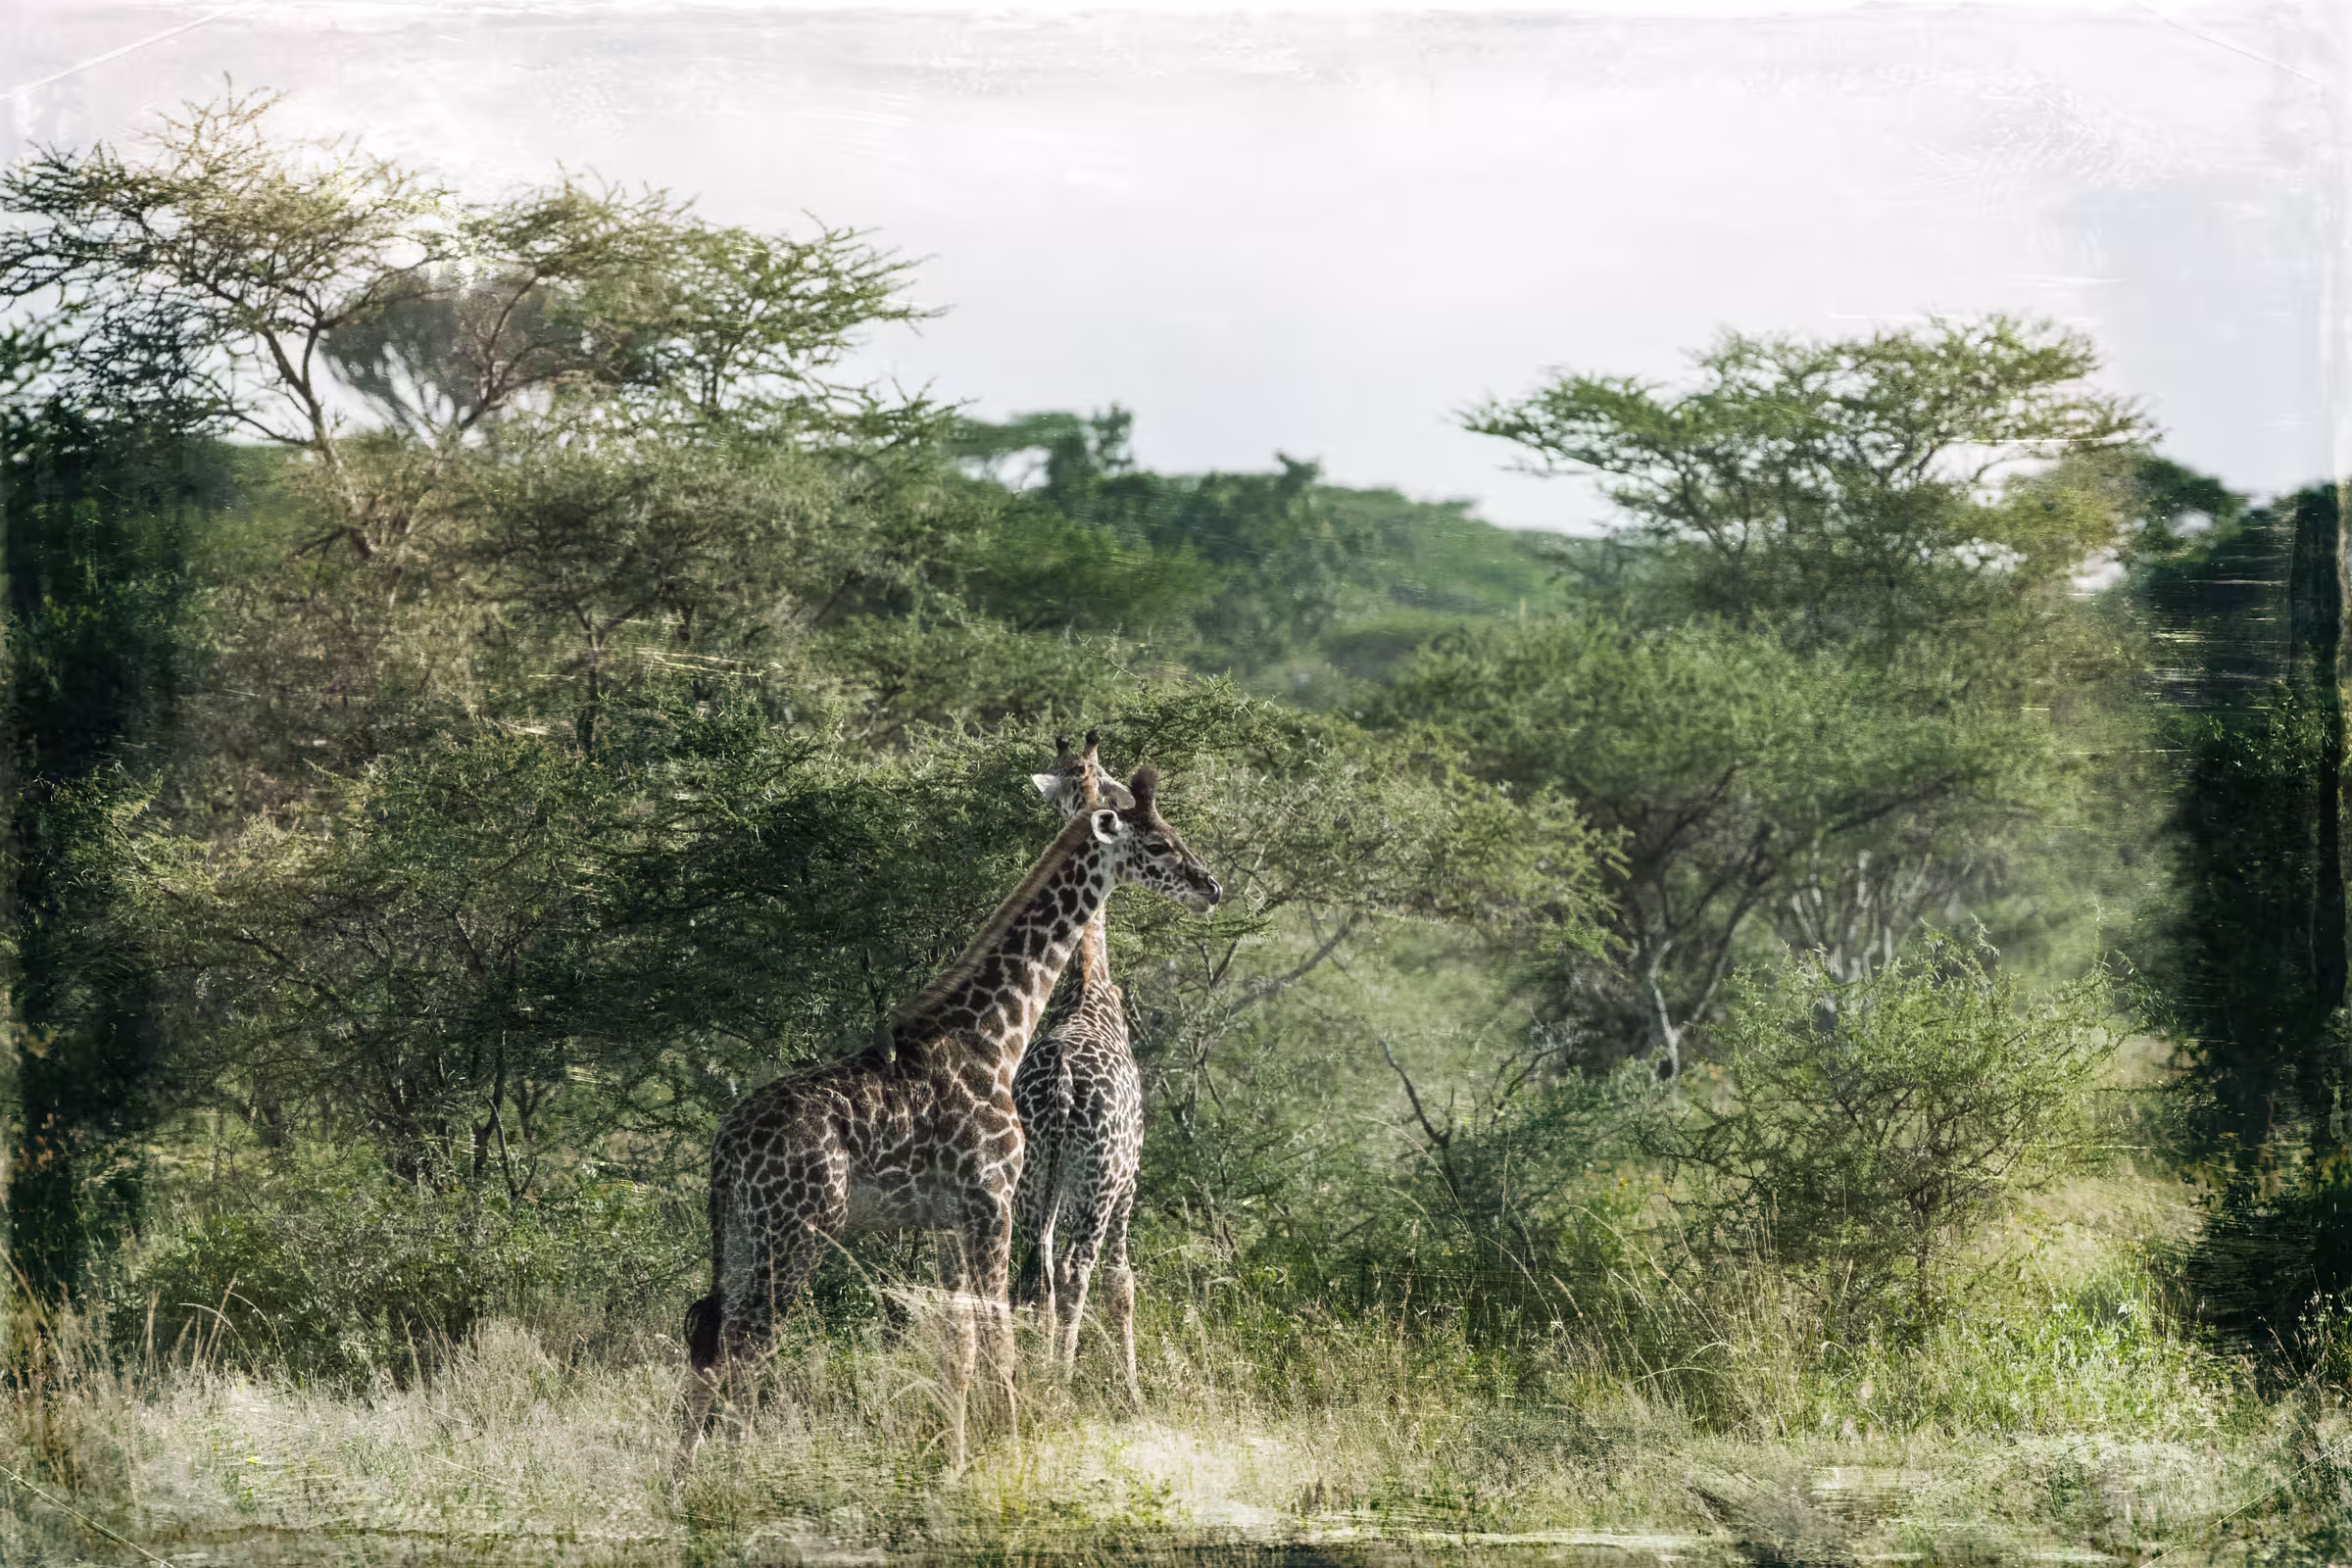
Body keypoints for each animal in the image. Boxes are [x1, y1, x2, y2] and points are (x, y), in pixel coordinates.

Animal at [683, 760, 1221, 1471]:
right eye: (1158, 843)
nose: (1211, 886)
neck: (993, 1035)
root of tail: (727, 1143)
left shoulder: (948, 1219)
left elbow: (959, 1342)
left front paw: (957, 1456)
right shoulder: (992, 1201)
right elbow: (1002, 1337)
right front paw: (1011, 1451)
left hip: (742, 1229)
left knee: (709, 1338)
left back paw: (684, 1476)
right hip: (799, 1229)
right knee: (748, 1347)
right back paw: (737, 1473)